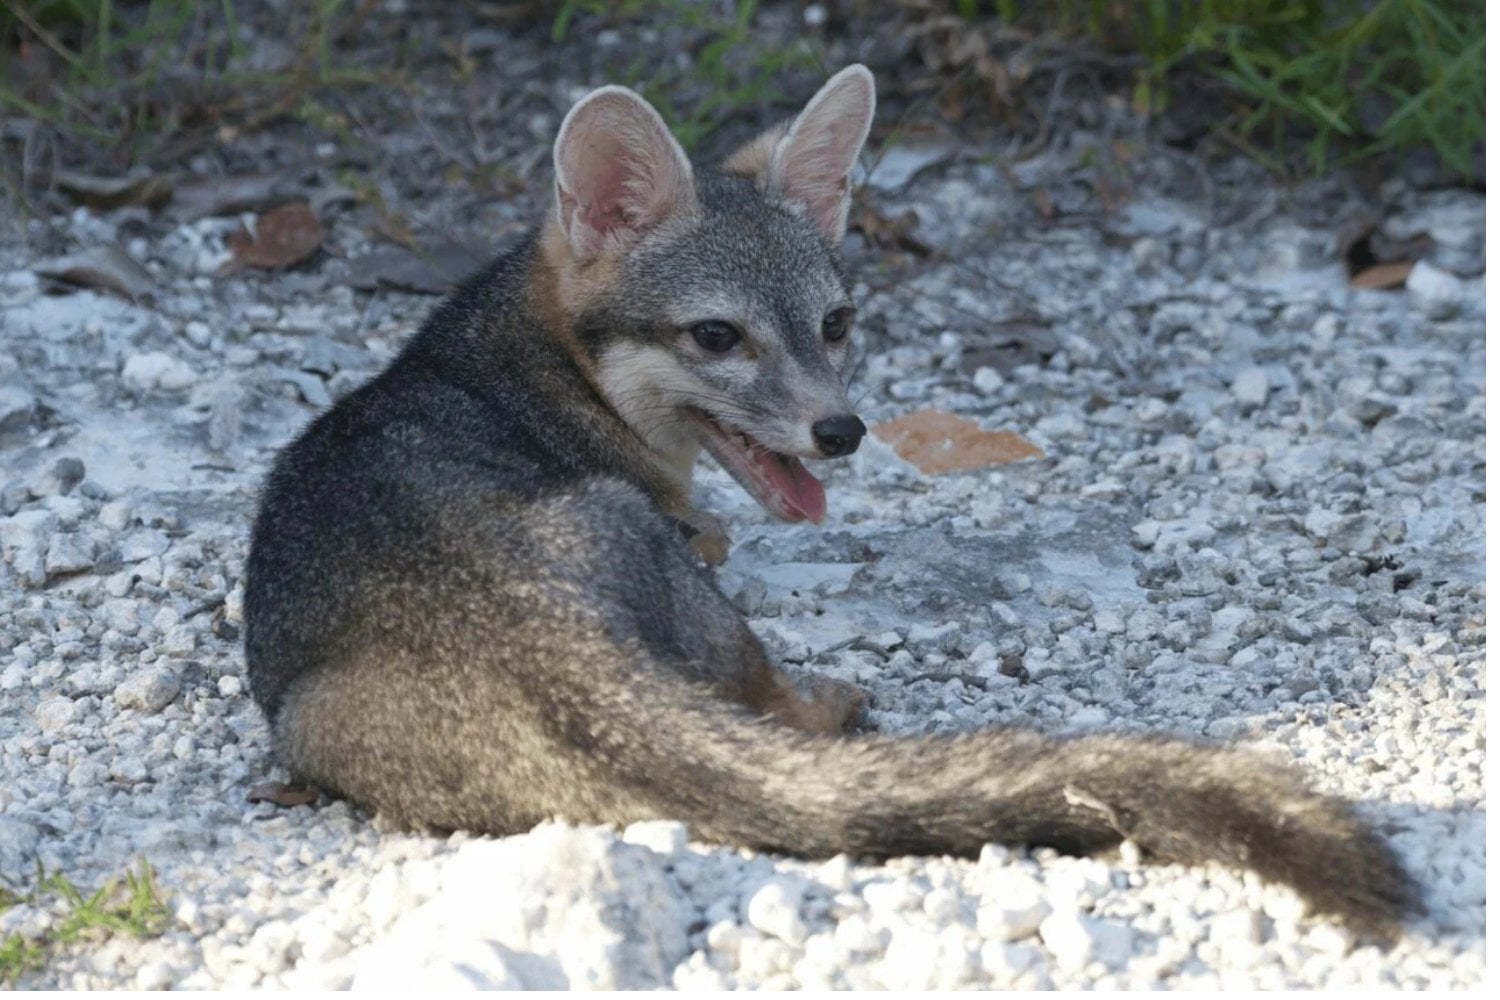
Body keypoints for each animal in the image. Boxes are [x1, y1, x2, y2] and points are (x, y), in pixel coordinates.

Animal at [243, 65, 1418, 941]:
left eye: (838, 323)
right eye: (717, 336)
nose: (841, 431)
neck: (526, 365)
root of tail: (544, 640)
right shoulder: (692, 534)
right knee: (768, 695)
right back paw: (829, 701)